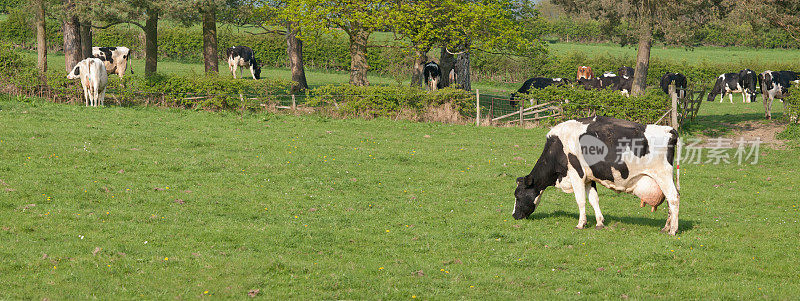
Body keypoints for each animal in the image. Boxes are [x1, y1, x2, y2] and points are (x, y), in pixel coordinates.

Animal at [512, 116, 680, 236]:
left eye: (518, 195)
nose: (514, 215)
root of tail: (669, 130)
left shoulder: (577, 174)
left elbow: (580, 200)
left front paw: (581, 224)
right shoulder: (589, 178)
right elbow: (594, 199)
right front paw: (599, 223)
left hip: (662, 175)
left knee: (673, 198)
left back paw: (673, 230)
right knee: (670, 201)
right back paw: (666, 227)